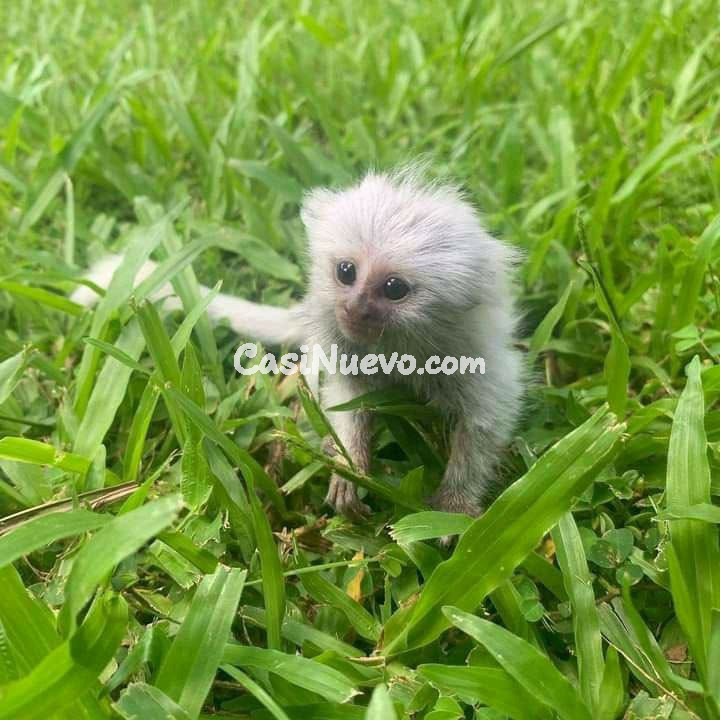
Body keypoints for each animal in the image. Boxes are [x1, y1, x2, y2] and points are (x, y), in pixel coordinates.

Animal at [73, 169, 523, 519]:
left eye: (394, 288)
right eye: (346, 272)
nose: (354, 308)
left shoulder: (476, 362)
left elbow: (482, 428)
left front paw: (454, 503)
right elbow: (349, 399)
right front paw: (348, 463)